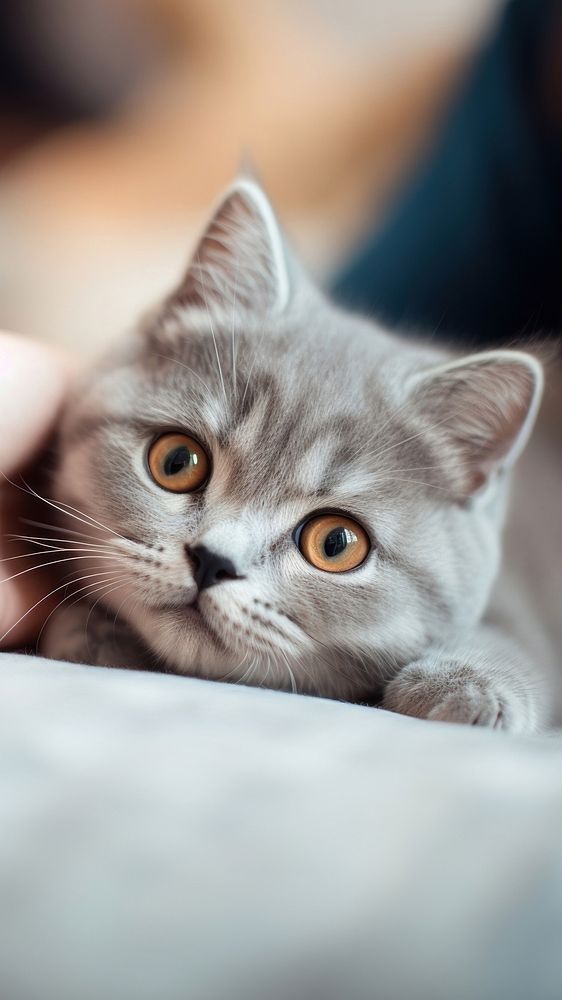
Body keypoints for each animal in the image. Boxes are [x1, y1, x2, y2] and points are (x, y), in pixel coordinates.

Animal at [37, 180, 556, 732]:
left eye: (336, 543)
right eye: (177, 462)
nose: (212, 561)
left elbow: (521, 639)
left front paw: (467, 683)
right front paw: (92, 630)